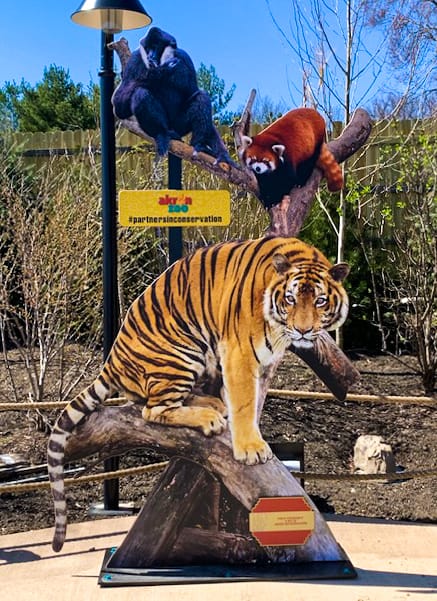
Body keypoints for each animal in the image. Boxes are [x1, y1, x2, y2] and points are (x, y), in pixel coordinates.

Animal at [47, 234, 348, 548]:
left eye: (320, 301)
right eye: (290, 299)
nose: (302, 331)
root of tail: (112, 360)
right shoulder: (239, 351)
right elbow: (244, 401)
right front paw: (251, 449)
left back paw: (212, 405)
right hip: (181, 351)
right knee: (153, 409)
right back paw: (207, 417)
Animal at [112, 27, 235, 164]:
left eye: (155, 47)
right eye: (148, 48)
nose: (150, 55)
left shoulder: (184, 56)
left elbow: (193, 92)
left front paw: (223, 155)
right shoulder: (135, 59)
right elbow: (119, 107)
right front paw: (162, 71)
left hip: (180, 125)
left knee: (201, 96)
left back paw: (198, 145)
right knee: (140, 93)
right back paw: (163, 134)